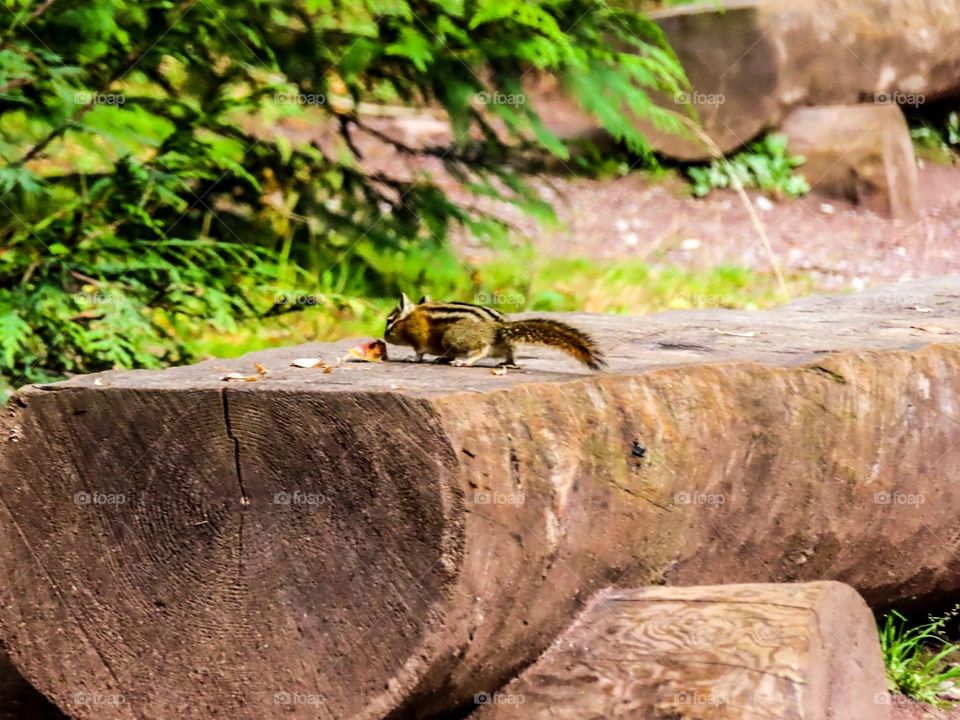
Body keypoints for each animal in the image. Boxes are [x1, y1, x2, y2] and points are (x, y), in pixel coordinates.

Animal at [383, 293, 606, 371]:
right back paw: (510, 363)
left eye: (389, 321)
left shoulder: (419, 338)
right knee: (510, 353)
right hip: (505, 344)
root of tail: (498, 328)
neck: (412, 317)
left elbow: (419, 351)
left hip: (453, 336)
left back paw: (465, 362)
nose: (384, 336)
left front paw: (412, 358)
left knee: (481, 349)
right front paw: (441, 358)